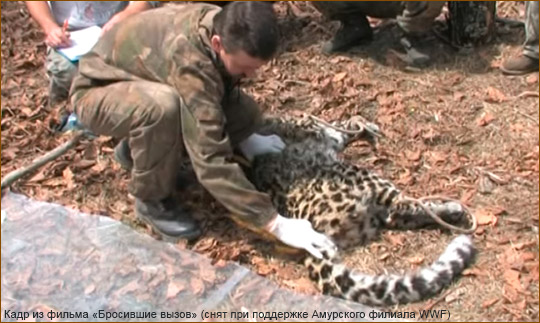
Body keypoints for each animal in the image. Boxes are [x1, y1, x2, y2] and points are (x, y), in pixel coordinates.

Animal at [243, 115, 474, 308]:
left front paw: (363, 126)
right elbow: (342, 127)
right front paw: (362, 126)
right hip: (360, 176)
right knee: (398, 209)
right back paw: (451, 209)